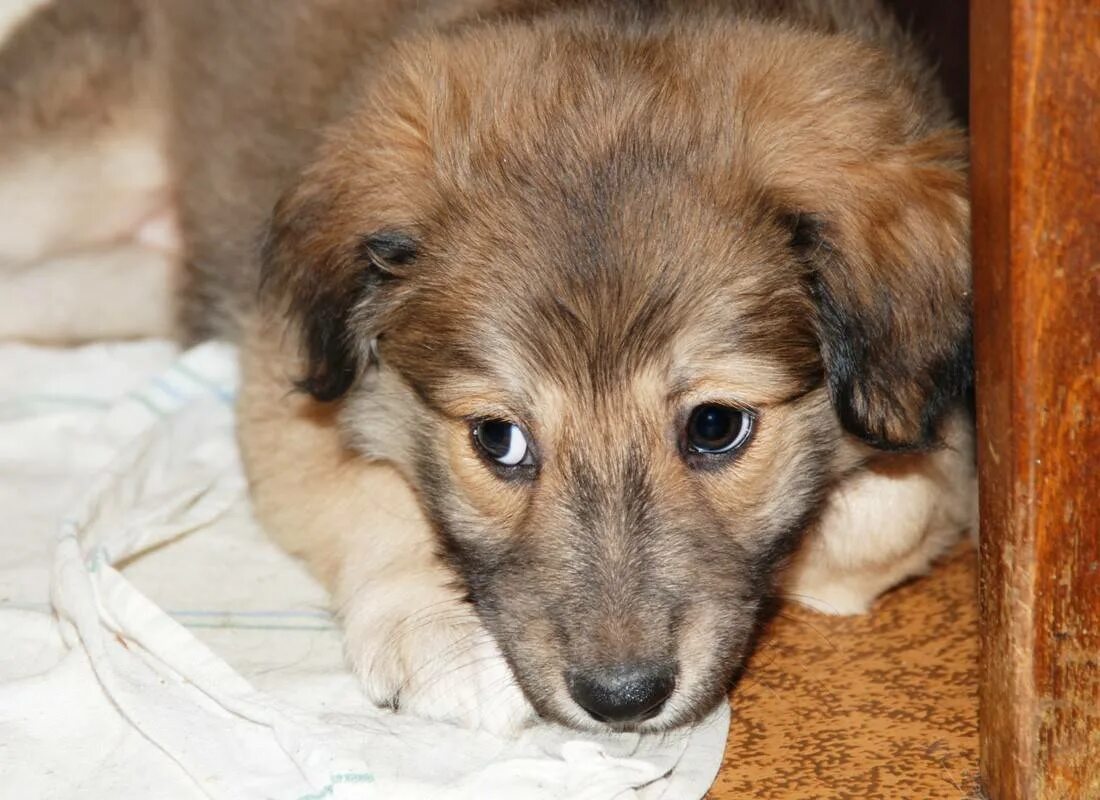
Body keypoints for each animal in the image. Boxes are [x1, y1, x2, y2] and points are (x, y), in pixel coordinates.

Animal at [2, 0, 981, 735]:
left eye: (715, 427)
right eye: (498, 441)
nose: (621, 702)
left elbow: (886, 518)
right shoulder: (285, 365)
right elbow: (364, 498)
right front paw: (438, 636)